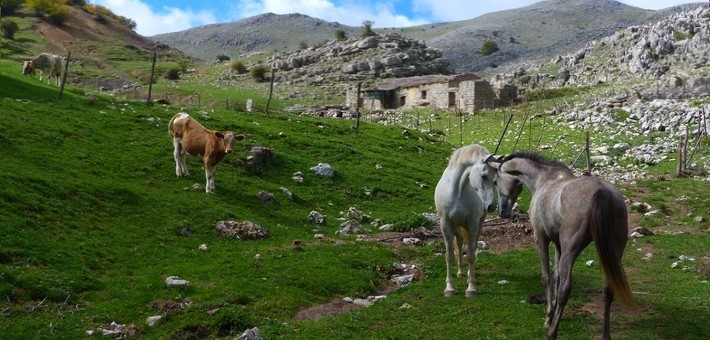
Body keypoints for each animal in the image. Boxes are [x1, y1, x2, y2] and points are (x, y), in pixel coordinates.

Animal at [432, 144, 498, 298]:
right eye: (484, 175)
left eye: (496, 178)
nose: (491, 206)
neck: (457, 190)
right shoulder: (445, 225)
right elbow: (449, 256)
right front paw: (449, 288)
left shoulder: (473, 224)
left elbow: (471, 255)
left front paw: (471, 288)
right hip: (456, 226)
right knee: (460, 242)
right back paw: (461, 271)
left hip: (478, 224)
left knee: (471, 246)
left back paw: (468, 274)